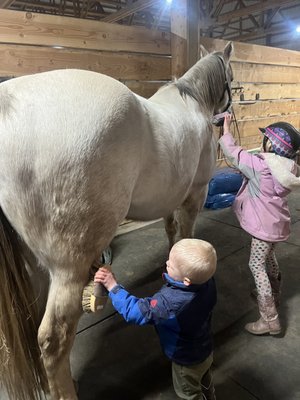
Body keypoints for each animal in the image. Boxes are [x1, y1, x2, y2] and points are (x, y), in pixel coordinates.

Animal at [0, 42, 232, 398]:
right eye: (230, 77)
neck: (192, 102)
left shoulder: (170, 197)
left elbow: (171, 233)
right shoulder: (194, 192)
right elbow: (185, 235)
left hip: (34, 266)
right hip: (67, 269)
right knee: (53, 339)